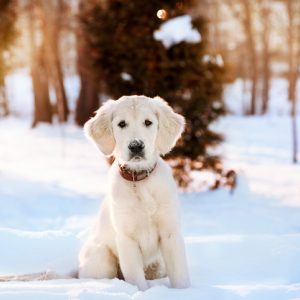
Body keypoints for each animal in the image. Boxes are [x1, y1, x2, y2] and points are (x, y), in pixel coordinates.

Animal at [78, 95, 190, 290]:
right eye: (122, 124)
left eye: (148, 122)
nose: (136, 146)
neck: (139, 181)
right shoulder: (126, 238)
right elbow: (136, 279)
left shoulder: (170, 232)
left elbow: (180, 275)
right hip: (101, 257)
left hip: (158, 265)